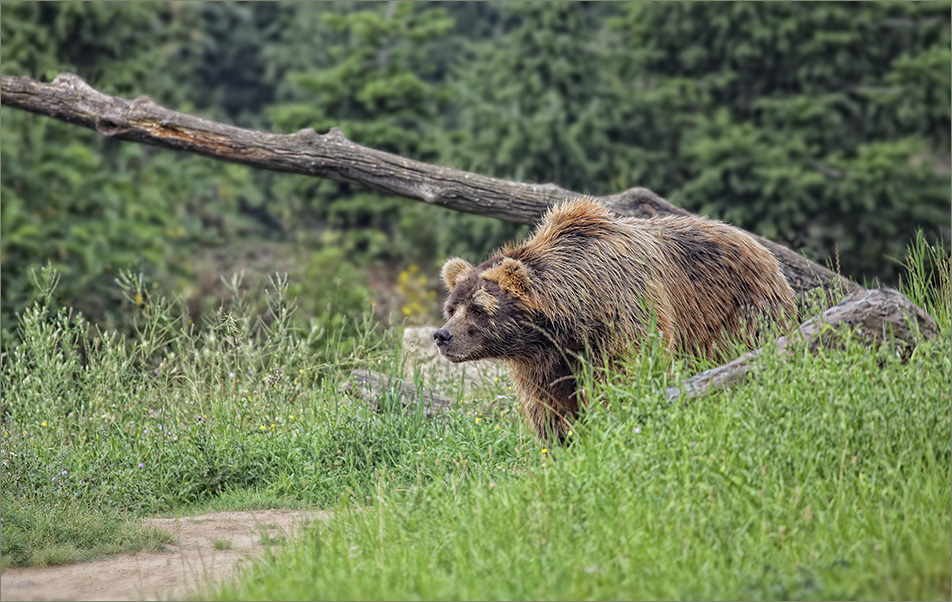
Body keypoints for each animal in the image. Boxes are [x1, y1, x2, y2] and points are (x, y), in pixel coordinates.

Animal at [434, 197, 796, 440]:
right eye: (452, 308)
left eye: (479, 308)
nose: (442, 336)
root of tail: (762, 248)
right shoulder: (545, 359)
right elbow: (549, 403)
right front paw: (561, 439)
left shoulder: (624, 315)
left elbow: (620, 377)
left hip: (735, 310)